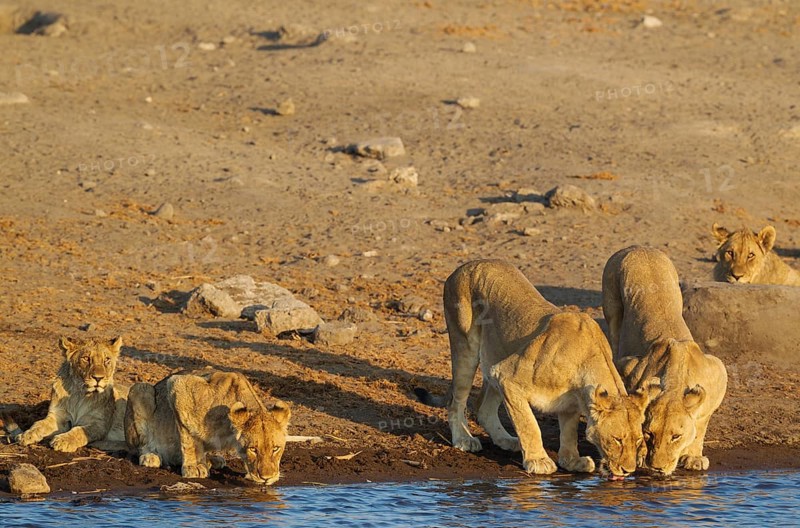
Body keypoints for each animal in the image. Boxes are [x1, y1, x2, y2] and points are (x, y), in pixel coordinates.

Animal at [125, 369, 290, 486]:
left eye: (276, 448)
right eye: (253, 449)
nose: (267, 478)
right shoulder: (178, 386)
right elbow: (189, 440)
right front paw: (193, 467)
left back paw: (213, 460)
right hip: (140, 388)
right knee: (141, 446)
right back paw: (150, 456)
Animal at [415, 259, 657, 477]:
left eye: (638, 440)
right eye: (617, 439)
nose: (628, 471)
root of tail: (464, 266)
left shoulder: (568, 402)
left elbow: (568, 432)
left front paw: (572, 461)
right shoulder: (507, 377)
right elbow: (529, 425)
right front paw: (538, 461)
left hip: (495, 356)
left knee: (483, 407)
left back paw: (506, 440)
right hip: (466, 346)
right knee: (456, 401)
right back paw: (464, 439)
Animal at [602, 246, 727, 476]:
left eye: (676, 436)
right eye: (650, 434)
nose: (658, 468)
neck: (677, 376)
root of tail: (637, 247)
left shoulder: (718, 371)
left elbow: (701, 423)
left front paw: (694, 457)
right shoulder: (630, 366)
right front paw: (640, 455)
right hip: (612, 305)